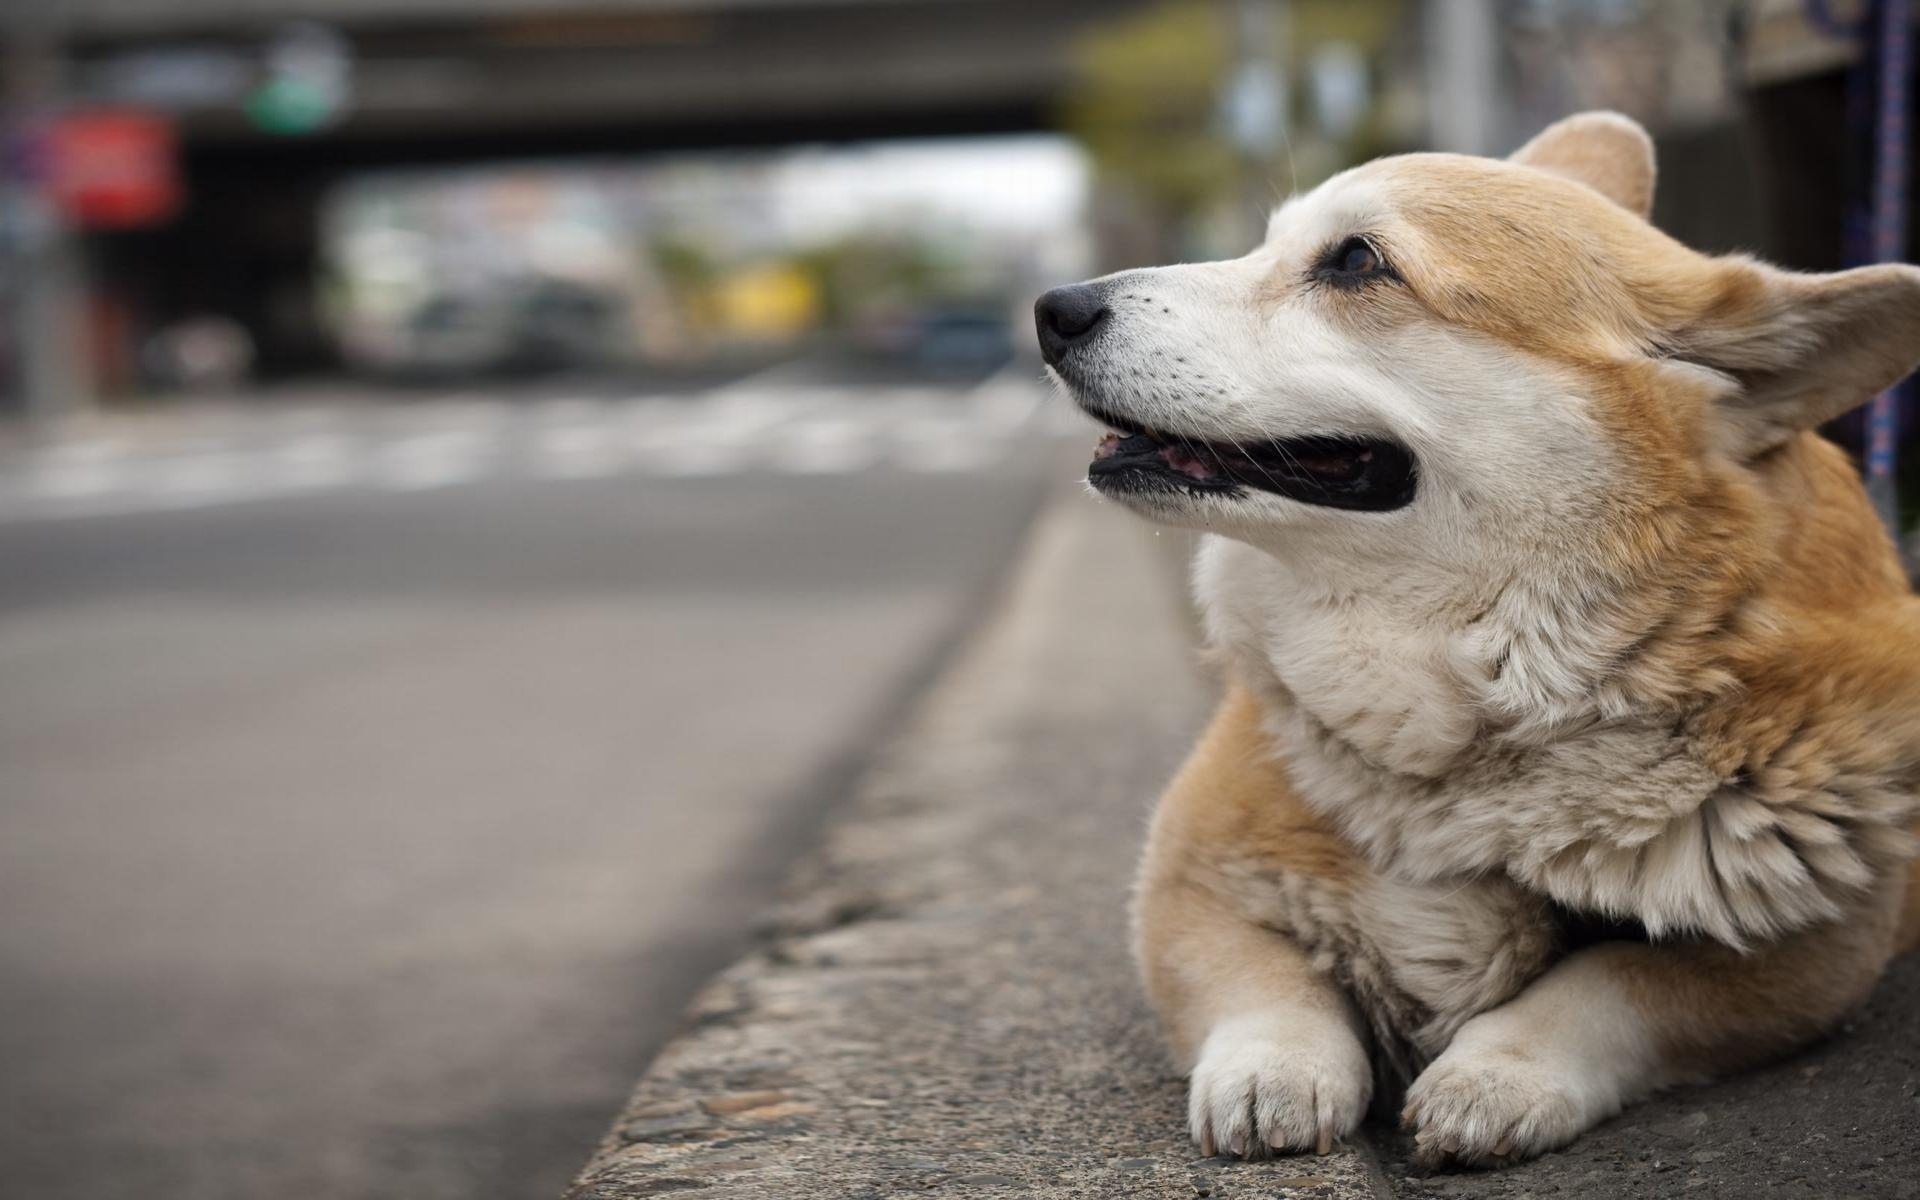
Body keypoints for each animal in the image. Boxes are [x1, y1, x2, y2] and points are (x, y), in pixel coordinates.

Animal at [1044, 109, 1920, 1159]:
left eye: (1356, 261)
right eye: (1266, 242)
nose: (1052, 310)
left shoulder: (1818, 947)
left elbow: (1619, 979)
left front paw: (1496, 1075)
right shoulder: (1184, 888)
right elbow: (1269, 984)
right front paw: (1274, 1074)